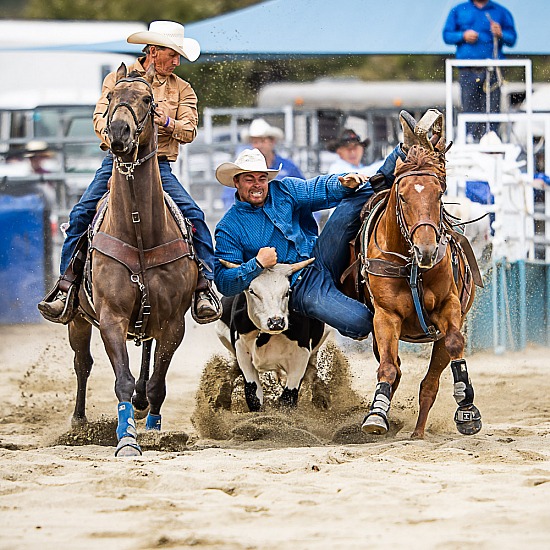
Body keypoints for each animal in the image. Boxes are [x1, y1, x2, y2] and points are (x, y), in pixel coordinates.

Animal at [68, 63, 198, 458]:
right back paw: (78, 422)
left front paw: (152, 427)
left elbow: (157, 381)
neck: (139, 233)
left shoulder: (173, 321)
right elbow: (121, 380)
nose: (118, 132)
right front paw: (126, 439)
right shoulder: (111, 317)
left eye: (147, 100)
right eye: (110, 95)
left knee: (147, 355)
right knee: (82, 363)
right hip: (77, 320)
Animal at [360, 111, 480, 440]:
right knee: (397, 368)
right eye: (401, 197)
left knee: (431, 382)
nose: (426, 250)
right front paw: (376, 415)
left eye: (439, 194)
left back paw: (418, 433)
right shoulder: (385, 317)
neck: (413, 267)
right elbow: (388, 367)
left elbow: (454, 344)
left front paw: (467, 407)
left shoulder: (449, 307)